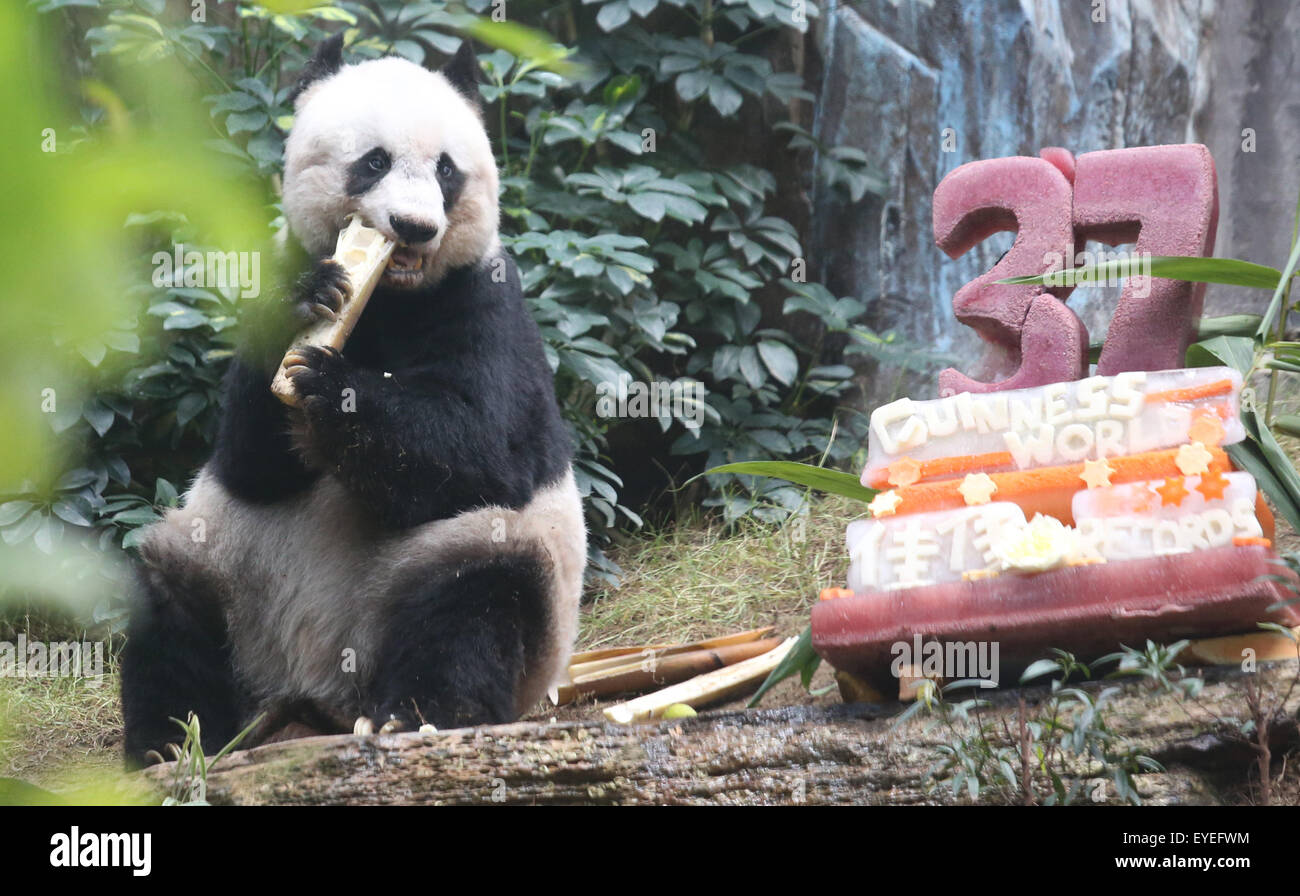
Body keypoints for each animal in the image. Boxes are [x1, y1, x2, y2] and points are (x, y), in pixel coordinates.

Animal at [120, 36, 586, 765]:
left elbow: (487, 447)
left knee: (477, 592)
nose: (414, 228)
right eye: (374, 161)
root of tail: (313, 692)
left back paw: (420, 714)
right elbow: (251, 459)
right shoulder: (279, 274)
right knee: (170, 600)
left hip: (463, 578)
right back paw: (173, 740)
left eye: (447, 170)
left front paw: (332, 389)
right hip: (225, 564)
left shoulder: (485, 302)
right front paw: (311, 310)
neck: (390, 298)